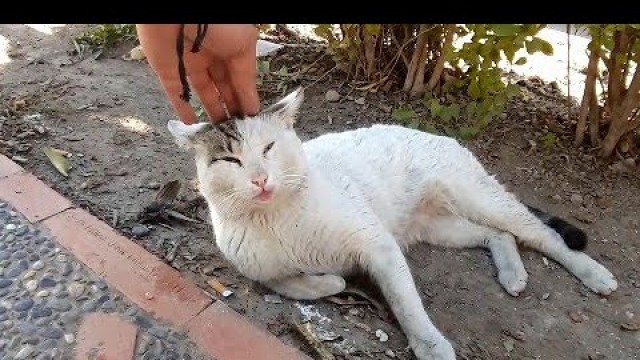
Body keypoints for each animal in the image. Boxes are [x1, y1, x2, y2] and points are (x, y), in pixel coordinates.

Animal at [168, 88, 616, 360]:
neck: (277, 217)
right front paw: (329, 282)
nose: (260, 179)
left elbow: (406, 304)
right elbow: (288, 282)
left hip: (479, 198)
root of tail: (435, 134)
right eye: (230, 160)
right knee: (498, 235)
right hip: (442, 227)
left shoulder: (379, 246)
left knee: (542, 234)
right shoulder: (260, 269)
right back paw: (513, 273)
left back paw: (593, 273)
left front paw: (430, 345)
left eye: (268, 148)